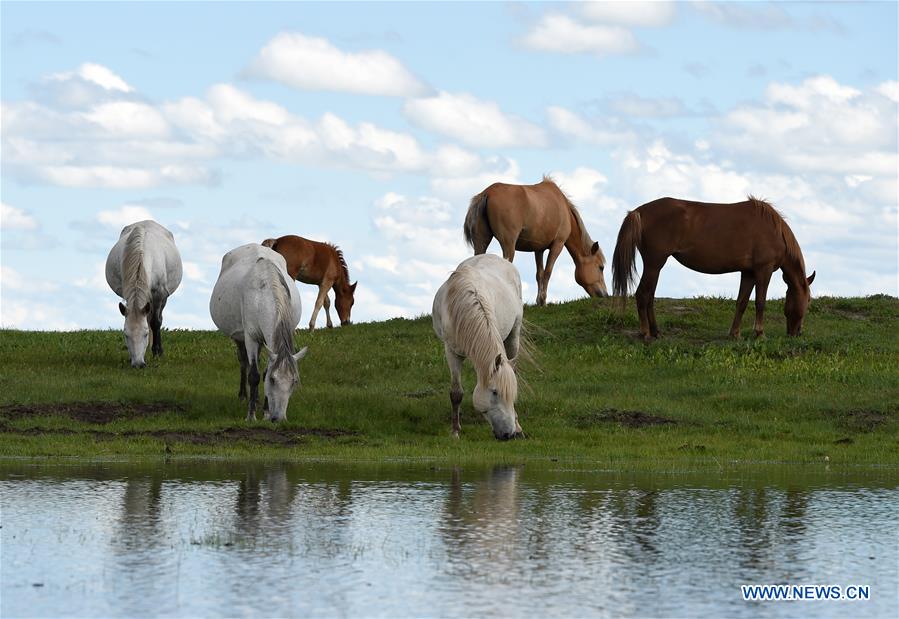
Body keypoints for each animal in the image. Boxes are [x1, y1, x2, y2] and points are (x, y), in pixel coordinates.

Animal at [106, 220, 183, 368]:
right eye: (126, 334)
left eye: (145, 334)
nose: (138, 364)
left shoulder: (159, 294)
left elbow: (155, 322)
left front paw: (157, 351)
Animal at [210, 242, 310, 422]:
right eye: (273, 379)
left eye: (294, 382)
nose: (279, 418)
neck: (262, 295)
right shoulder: (250, 337)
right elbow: (254, 376)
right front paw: (251, 416)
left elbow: (263, 371)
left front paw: (266, 412)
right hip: (240, 338)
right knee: (244, 362)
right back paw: (244, 396)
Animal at [430, 253, 524, 440]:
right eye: (495, 392)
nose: (508, 434)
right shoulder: (451, 352)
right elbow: (456, 393)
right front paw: (455, 431)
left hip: (513, 337)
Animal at [464, 176, 612, 306]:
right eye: (601, 267)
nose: (605, 295)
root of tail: (487, 192)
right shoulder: (558, 245)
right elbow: (547, 272)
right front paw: (543, 301)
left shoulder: (538, 249)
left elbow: (539, 274)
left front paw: (538, 301)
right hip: (508, 245)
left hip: (481, 242)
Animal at [612, 196, 816, 342]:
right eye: (806, 302)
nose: (797, 333)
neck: (774, 231)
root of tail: (638, 211)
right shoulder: (763, 271)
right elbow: (760, 302)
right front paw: (759, 333)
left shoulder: (748, 273)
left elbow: (742, 302)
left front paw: (735, 334)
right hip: (654, 264)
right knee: (643, 294)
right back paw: (645, 333)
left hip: (655, 266)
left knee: (650, 297)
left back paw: (655, 332)